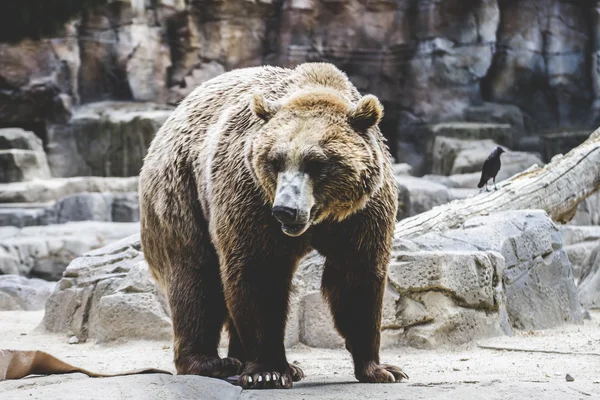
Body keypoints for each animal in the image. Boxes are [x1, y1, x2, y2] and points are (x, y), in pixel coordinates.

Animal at [138, 61, 406, 388]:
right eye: (275, 161)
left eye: (318, 162)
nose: (285, 211)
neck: (323, 217)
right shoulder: (250, 198)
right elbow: (259, 273)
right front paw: (267, 371)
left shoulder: (362, 213)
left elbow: (356, 277)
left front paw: (382, 369)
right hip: (181, 192)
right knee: (195, 277)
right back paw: (211, 362)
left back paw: (259, 363)